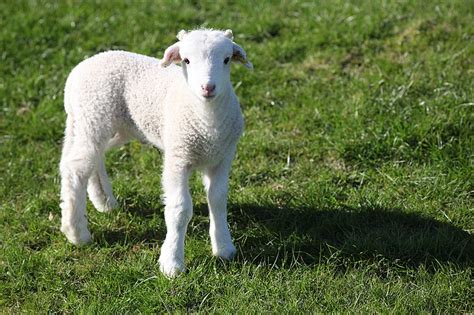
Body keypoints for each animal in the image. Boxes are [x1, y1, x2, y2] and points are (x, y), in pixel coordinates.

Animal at [58, 28, 252, 278]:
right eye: (186, 60)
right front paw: (172, 263)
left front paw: (224, 248)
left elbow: (217, 200)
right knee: (76, 167)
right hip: (94, 115)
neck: (207, 123)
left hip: (109, 127)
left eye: (227, 59)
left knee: (91, 158)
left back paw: (104, 201)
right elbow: (179, 209)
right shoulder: (177, 158)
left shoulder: (222, 157)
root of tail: (77, 71)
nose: (208, 88)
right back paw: (76, 232)